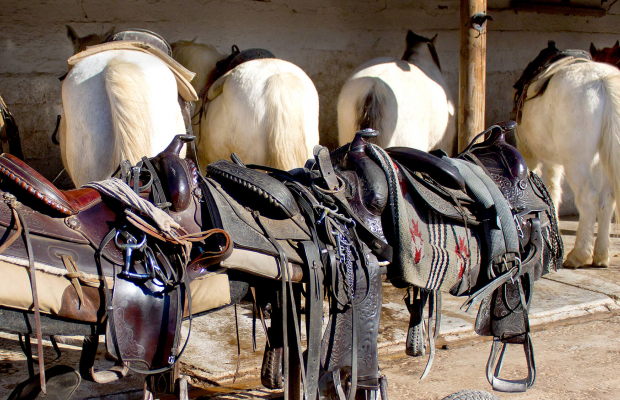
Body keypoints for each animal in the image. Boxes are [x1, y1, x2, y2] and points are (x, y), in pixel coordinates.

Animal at [516, 45, 620, 268]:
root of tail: (603, 81)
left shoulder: (530, 154)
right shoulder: (554, 160)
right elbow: (551, 190)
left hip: (576, 161)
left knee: (588, 198)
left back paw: (579, 254)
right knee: (606, 199)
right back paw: (601, 255)